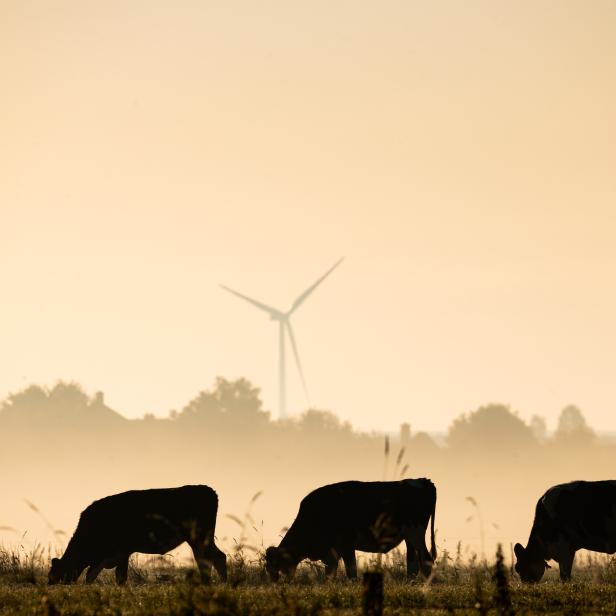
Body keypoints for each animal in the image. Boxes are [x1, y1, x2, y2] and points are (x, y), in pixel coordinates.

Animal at [47, 486, 226, 584]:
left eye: (56, 575)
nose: (49, 585)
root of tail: (208, 490)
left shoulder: (122, 552)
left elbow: (119, 577)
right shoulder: (106, 558)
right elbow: (92, 576)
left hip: (199, 537)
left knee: (214, 558)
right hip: (200, 539)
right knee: (208, 559)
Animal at [266, 478, 438, 580]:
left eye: (274, 565)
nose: (277, 583)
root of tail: (423, 481)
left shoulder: (346, 544)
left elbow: (351, 571)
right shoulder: (332, 551)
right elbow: (330, 572)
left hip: (415, 532)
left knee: (426, 560)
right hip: (409, 537)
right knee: (413, 563)